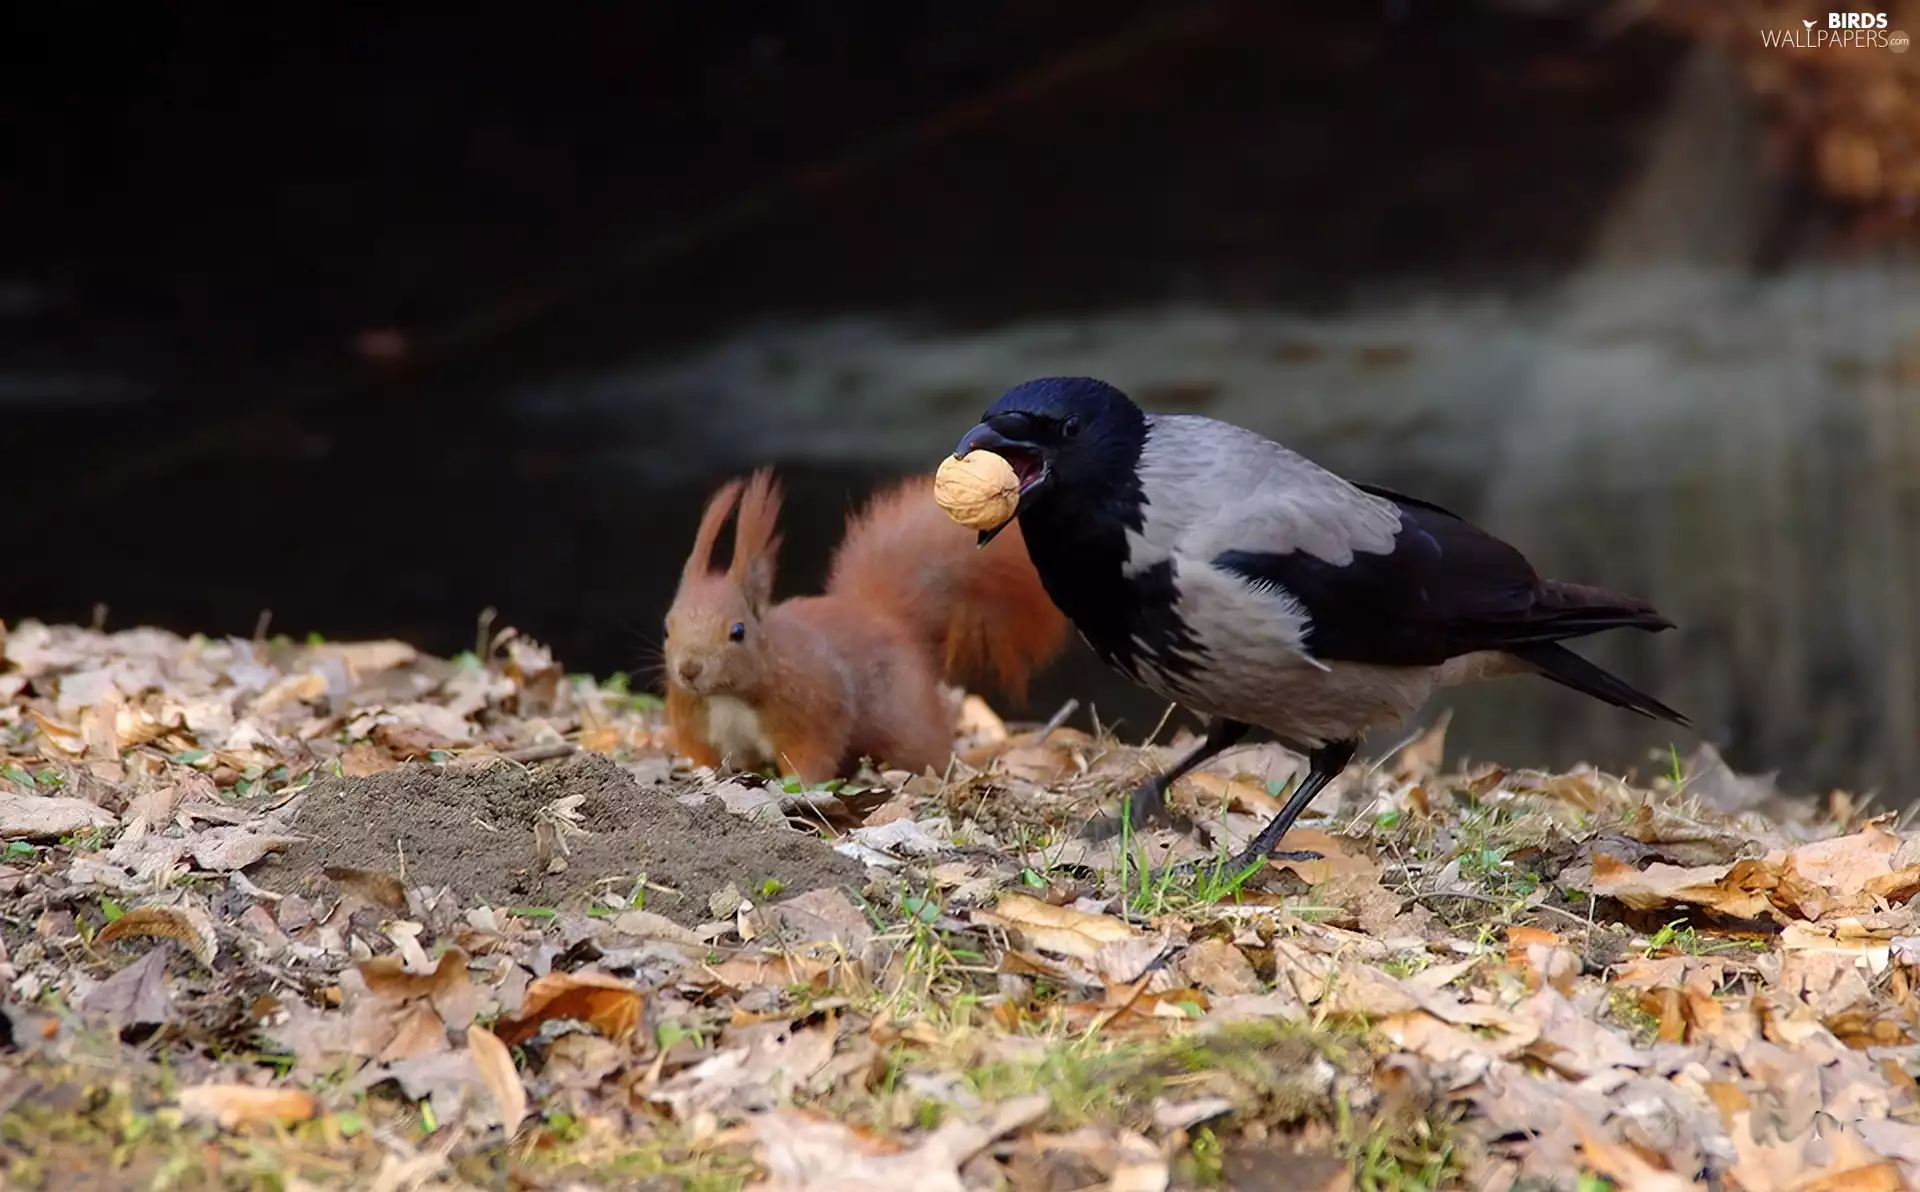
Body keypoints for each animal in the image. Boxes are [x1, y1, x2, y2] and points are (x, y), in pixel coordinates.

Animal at [663, 468, 1068, 783]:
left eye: (738, 632)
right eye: (667, 627)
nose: (689, 671)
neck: (727, 696)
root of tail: (883, 617)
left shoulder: (814, 710)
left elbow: (811, 756)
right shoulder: (699, 727)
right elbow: (711, 760)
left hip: (906, 720)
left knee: (929, 752)